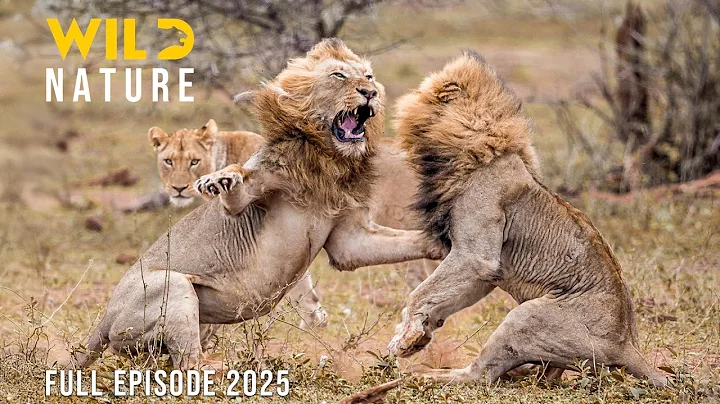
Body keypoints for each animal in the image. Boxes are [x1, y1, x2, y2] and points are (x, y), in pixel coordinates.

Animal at [386, 51, 667, 387]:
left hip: (525, 317)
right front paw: (419, 336)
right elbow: (441, 296)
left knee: (480, 374)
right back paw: (524, 372)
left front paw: (403, 340)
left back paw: (424, 376)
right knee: (546, 372)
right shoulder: (484, 273)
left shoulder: (475, 256)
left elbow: (420, 293)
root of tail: (628, 346)